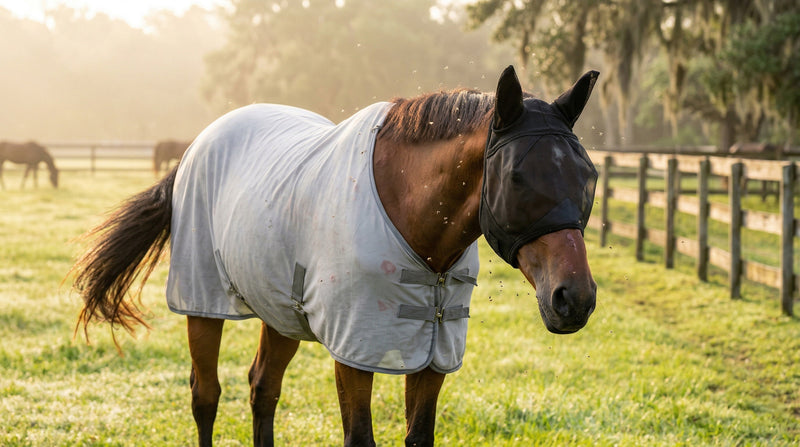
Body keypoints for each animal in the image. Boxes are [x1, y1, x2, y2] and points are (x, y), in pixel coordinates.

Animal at [70, 66, 599, 447]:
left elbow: (418, 437)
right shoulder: (354, 349)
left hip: (281, 312)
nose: (574, 298)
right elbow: (358, 437)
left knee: (262, 388)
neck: (410, 218)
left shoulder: (434, 355)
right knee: (206, 395)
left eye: (589, 175)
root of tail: (197, 145)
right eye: (515, 177)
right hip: (202, 303)